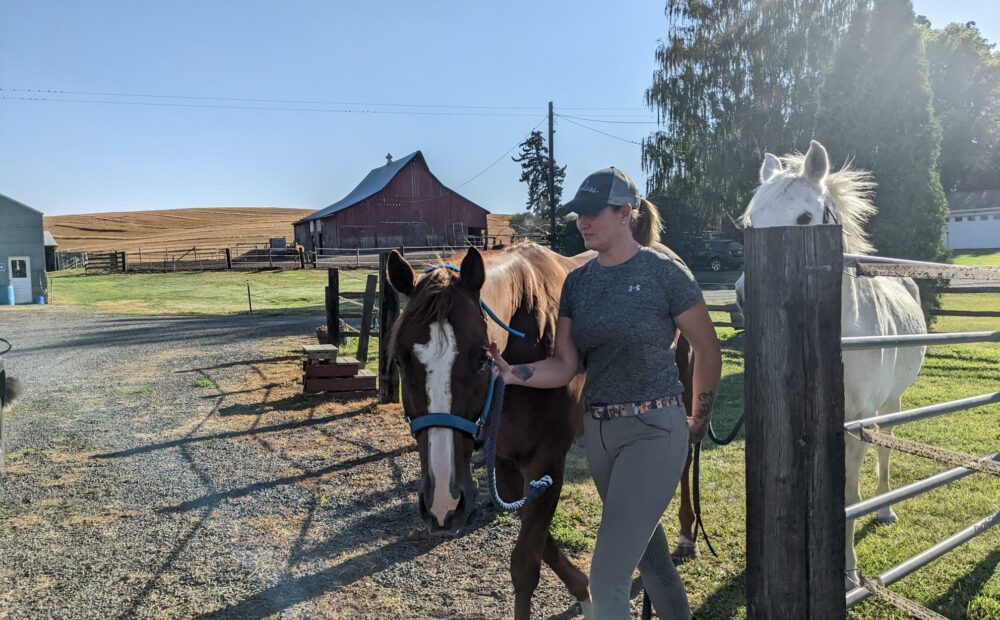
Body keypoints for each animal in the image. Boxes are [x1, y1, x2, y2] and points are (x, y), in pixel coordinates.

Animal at [740, 139, 924, 588]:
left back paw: (885, 508)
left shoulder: (856, 422)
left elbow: (849, 496)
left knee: (886, 451)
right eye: (750, 225)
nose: (745, 298)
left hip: (889, 406)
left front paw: (848, 573)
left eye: (805, 219)